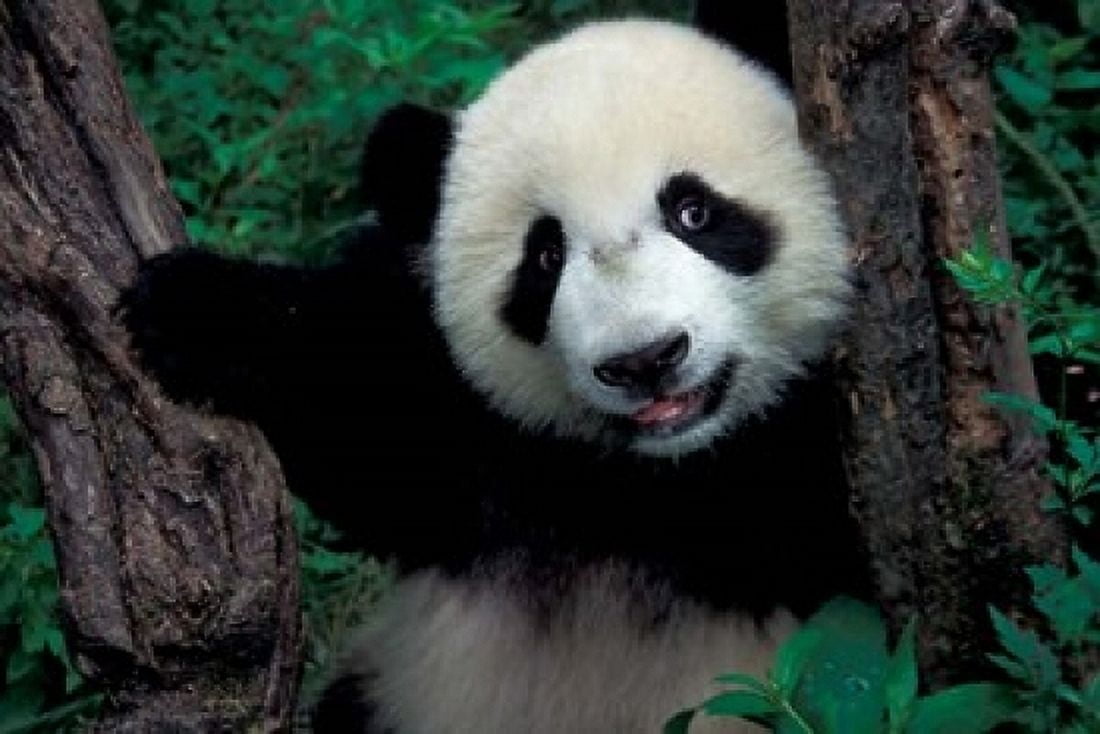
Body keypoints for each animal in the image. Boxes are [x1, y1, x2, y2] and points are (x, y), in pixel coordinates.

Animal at [121, 9, 869, 734]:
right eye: (545, 256)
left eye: (694, 210)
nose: (645, 360)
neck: (651, 474)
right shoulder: (472, 433)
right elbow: (363, 410)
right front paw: (195, 307)